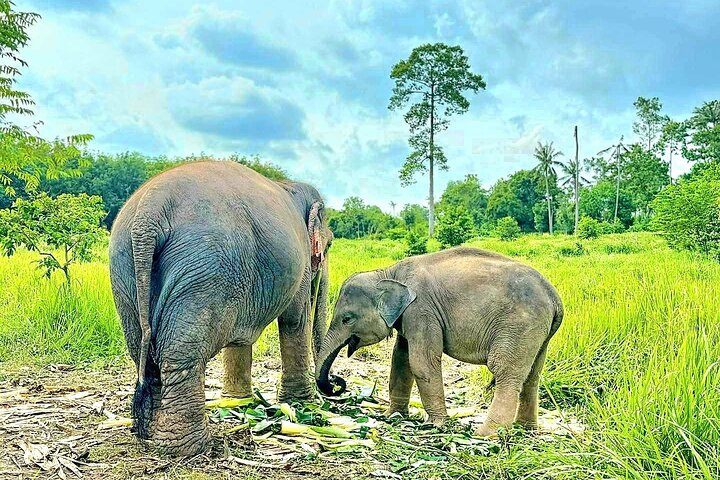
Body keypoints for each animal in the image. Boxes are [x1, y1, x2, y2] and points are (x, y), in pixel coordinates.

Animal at [109, 161, 333, 456]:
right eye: (329, 245)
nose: (332, 388)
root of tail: (150, 210)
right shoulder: (301, 264)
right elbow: (295, 320)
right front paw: (302, 404)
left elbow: (241, 336)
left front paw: (238, 402)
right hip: (204, 270)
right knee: (180, 353)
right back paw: (191, 448)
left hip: (125, 270)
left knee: (143, 353)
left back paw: (151, 437)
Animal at [315, 247, 563, 435]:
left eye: (347, 319)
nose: (337, 382)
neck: (388, 272)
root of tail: (555, 298)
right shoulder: (408, 316)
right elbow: (400, 360)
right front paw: (393, 416)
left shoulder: (421, 310)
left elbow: (421, 362)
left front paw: (436, 425)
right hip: (538, 333)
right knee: (532, 376)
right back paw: (526, 430)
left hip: (519, 326)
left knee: (505, 372)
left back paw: (485, 435)